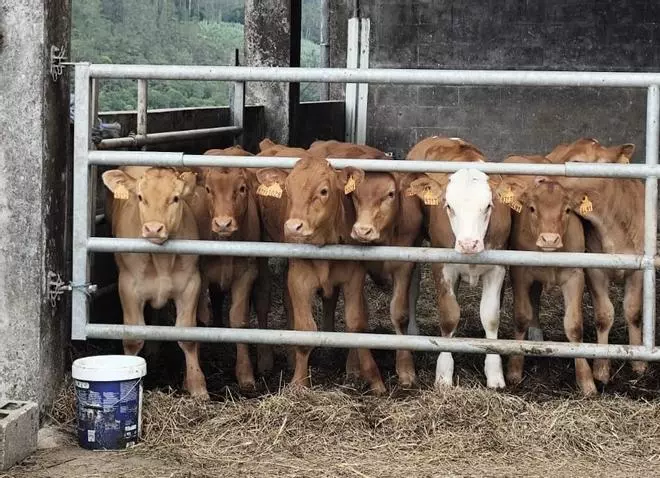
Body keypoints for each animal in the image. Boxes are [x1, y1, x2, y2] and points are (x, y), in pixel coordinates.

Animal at [102, 167, 208, 399]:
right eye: (141, 197)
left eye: (175, 198)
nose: (153, 228)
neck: (161, 262)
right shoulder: (128, 287)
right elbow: (133, 337)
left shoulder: (191, 284)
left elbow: (187, 335)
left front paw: (197, 385)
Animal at [255, 154, 387, 395]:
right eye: (287, 190)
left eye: (323, 191)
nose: (293, 227)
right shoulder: (298, 279)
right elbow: (305, 328)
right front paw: (299, 382)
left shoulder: (354, 277)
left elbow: (356, 323)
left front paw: (373, 378)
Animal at [405, 136, 511, 389]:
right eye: (448, 206)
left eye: (488, 206)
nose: (468, 244)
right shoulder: (442, 266)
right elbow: (449, 315)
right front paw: (444, 373)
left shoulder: (498, 268)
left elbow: (491, 316)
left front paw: (494, 372)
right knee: (412, 287)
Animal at [496, 155, 597, 395]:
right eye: (532, 208)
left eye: (567, 210)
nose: (549, 239)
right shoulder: (520, 273)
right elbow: (521, 317)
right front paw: (514, 368)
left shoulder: (575, 275)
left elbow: (574, 325)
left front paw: (586, 379)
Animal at [546, 137, 643, 382]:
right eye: (551, 156)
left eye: (576, 162)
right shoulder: (594, 270)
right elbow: (604, 314)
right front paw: (601, 367)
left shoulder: (638, 267)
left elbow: (633, 311)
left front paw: (638, 362)